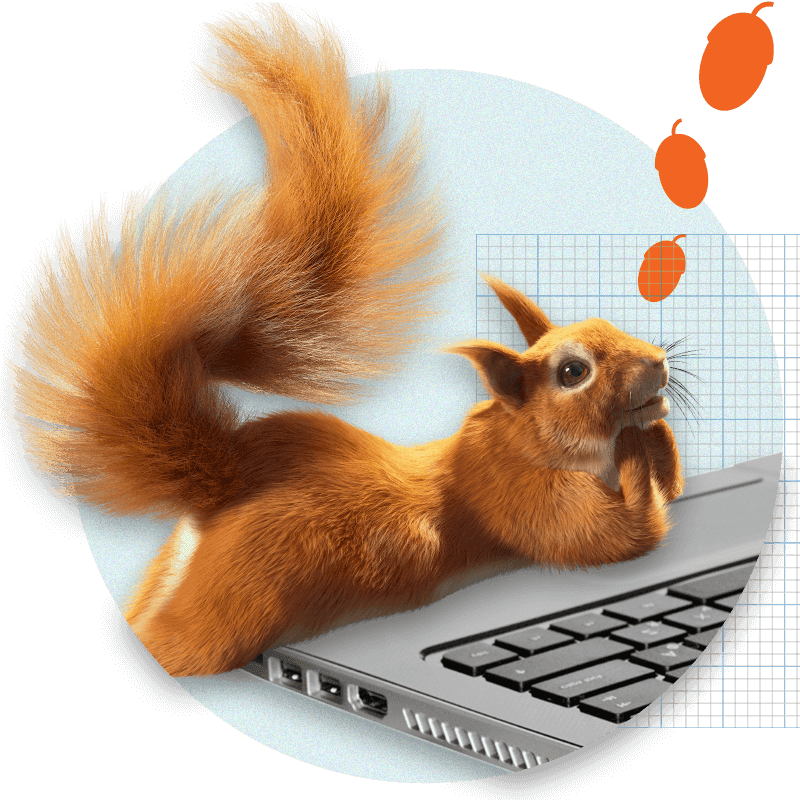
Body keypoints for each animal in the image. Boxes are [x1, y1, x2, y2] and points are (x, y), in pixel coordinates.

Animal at [5, 3, 683, 677]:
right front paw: (637, 448)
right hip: (231, 603)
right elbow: (621, 535)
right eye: (573, 372)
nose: (657, 363)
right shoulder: (518, 493)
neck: (532, 439)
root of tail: (222, 490)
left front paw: (656, 434)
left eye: (612, 328)